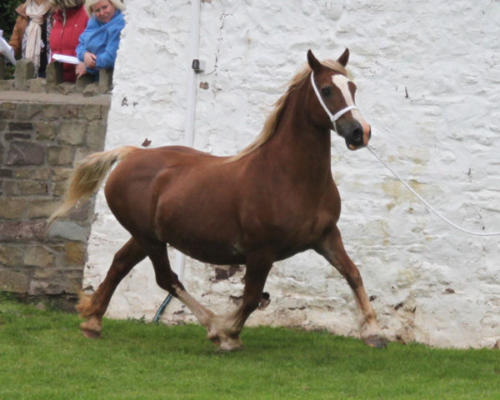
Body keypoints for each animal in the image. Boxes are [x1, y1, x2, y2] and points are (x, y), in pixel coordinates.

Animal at [49, 49, 386, 350]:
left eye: (352, 88)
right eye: (327, 90)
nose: (360, 132)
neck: (289, 177)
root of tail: (131, 154)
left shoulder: (326, 237)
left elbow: (353, 274)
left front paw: (373, 332)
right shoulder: (261, 252)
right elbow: (251, 298)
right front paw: (229, 334)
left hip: (145, 236)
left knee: (121, 263)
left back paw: (92, 321)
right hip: (150, 239)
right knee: (166, 278)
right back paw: (212, 326)